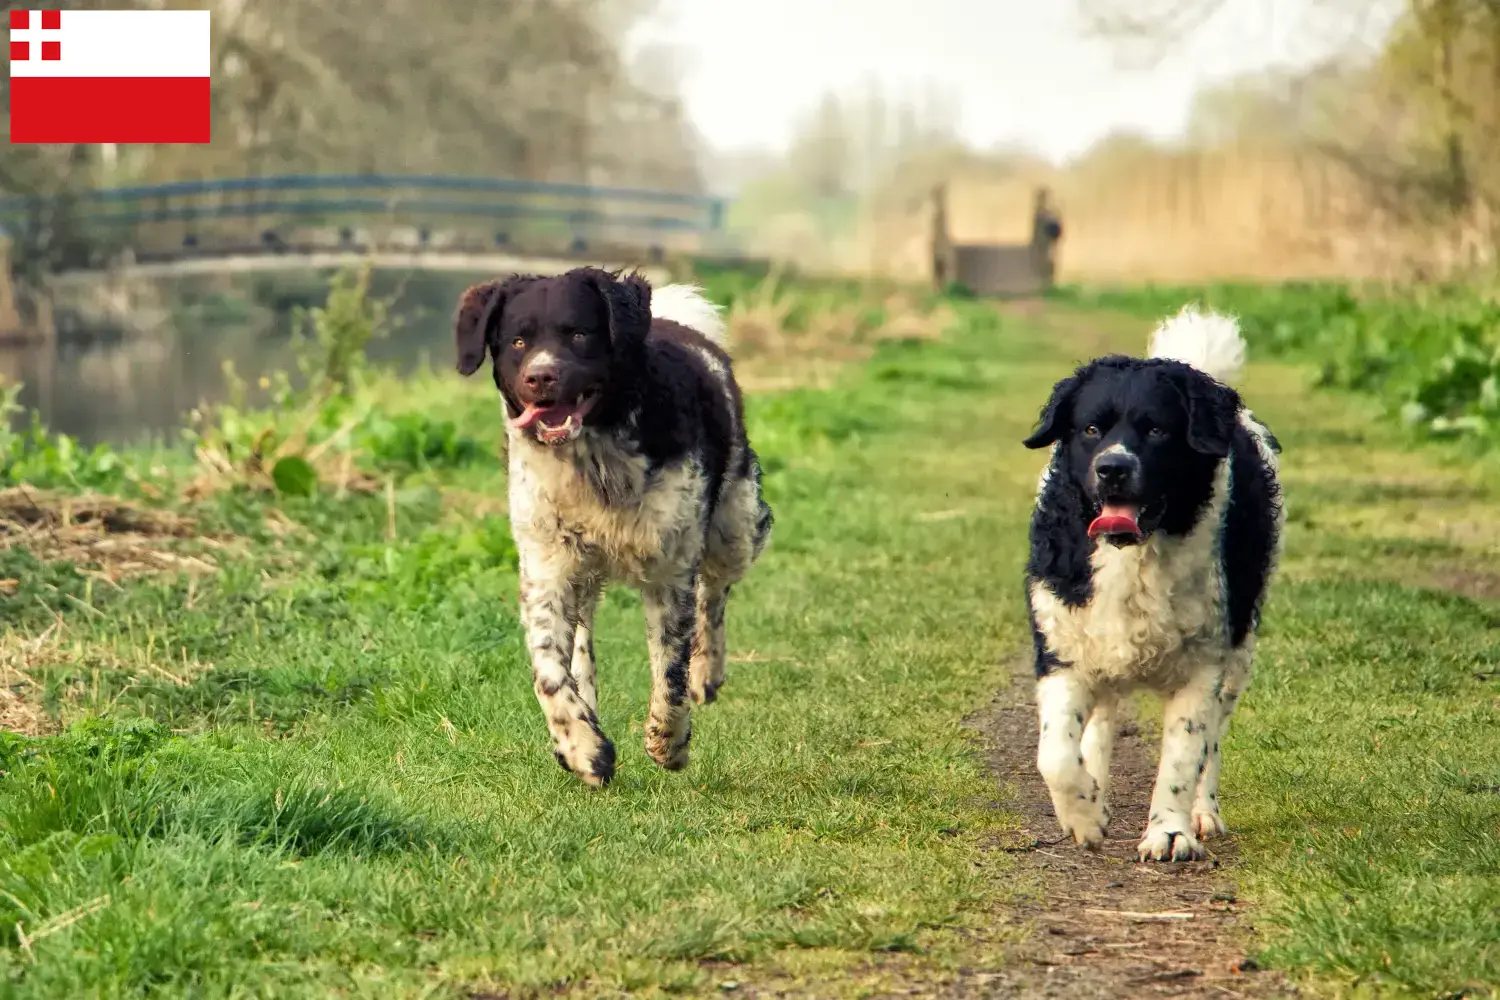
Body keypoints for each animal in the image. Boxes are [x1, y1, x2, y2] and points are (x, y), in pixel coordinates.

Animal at [453, 269, 774, 785]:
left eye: (579, 334)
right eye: (518, 341)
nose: (540, 377)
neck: (593, 461)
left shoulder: (669, 569)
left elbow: (670, 667)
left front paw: (669, 742)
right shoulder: (548, 566)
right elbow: (550, 672)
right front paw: (583, 747)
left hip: (736, 525)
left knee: (715, 596)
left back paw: (708, 673)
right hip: (584, 572)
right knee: (583, 644)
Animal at [1026, 308, 1284, 863]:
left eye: (1157, 430)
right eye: (1091, 428)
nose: (1113, 468)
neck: (1132, 552)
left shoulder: (1205, 662)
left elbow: (1185, 754)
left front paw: (1170, 832)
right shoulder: (1063, 646)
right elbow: (1055, 754)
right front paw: (1083, 814)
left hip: (1239, 655)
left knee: (1213, 742)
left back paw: (1204, 812)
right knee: (1100, 724)